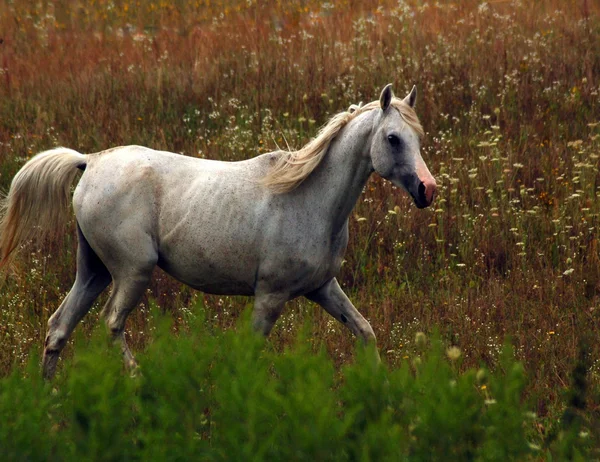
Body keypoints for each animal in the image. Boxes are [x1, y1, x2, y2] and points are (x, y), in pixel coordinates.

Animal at [0, 84, 434, 378]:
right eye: (393, 138)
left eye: (418, 137)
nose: (427, 190)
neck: (309, 198)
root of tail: (90, 161)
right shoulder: (270, 296)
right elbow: (250, 354)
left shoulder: (322, 287)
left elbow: (364, 331)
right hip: (132, 271)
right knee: (110, 323)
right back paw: (137, 381)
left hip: (93, 271)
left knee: (59, 328)